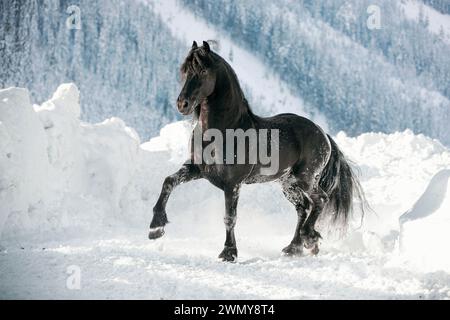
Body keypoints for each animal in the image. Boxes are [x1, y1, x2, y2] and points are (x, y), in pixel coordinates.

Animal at [149, 41, 366, 262]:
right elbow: (169, 181)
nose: (182, 104)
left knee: (320, 200)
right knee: (303, 207)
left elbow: (230, 217)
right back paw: (294, 247)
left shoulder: (233, 184)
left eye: (202, 70)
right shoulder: (196, 169)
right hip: (288, 184)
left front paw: (229, 252)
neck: (223, 130)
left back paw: (309, 239)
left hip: (305, 178)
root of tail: (323, 134)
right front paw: (156, 227)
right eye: (185, 71)